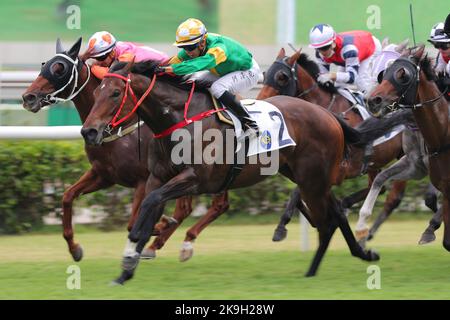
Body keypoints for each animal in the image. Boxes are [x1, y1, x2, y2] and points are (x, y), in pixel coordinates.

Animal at [21, 38, 230, 262]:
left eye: (60, 69)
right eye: (44, 65)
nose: (28, 97)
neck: (119, 127)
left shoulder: (143, 179)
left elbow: (133, 222)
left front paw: (160, 224)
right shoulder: (104, 174)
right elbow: (67, 196)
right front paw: (74, 248)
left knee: (196, 207)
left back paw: (177, 242)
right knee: (210, 205)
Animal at [81, 58, 384, 284]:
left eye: (116, 93)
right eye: (96, 92)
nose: (89, 131)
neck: (179, 119)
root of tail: (328, 114)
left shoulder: (196, 179)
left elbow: (150, 205)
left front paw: (140, 244)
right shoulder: (157, 177)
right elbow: (147, 210)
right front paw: (126, 270)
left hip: (312, 180)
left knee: (328, 220)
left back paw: (319, 267)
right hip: (305, 177)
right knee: (336, 212)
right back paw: (359, 255)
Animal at [256, 48, 408, 241]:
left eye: (282, 77)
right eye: (265, 74)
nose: (260, 101)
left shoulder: (335, 168)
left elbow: (298, 191)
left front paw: (282, 225)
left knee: (393, 197)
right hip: (374, 163)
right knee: (378, 187)